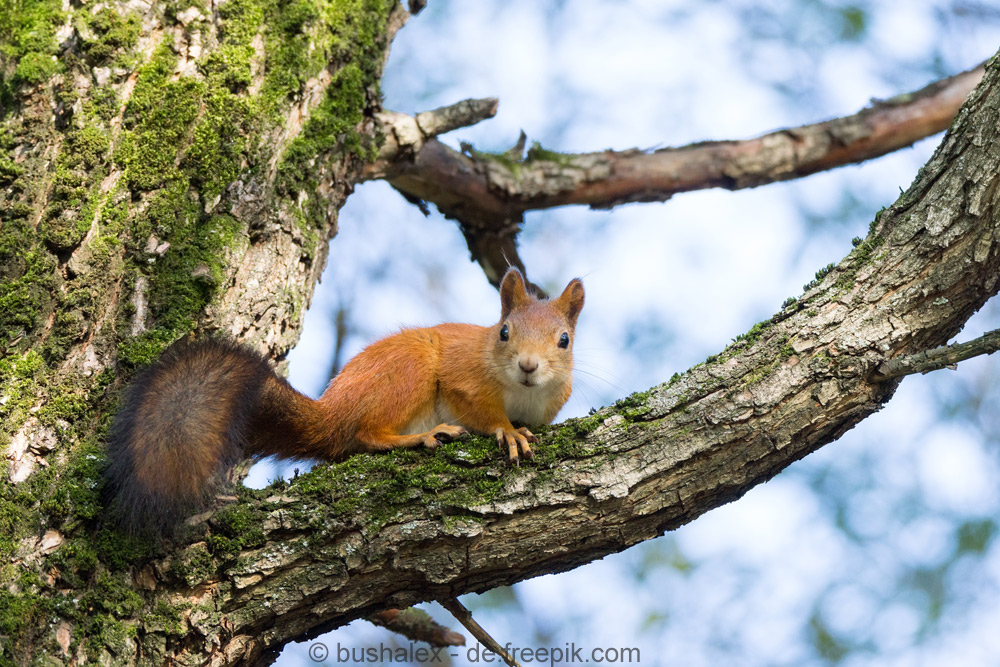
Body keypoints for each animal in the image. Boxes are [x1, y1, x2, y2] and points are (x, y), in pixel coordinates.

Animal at [104, 268, 584, 536]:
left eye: (564, 340)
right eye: (503, 332)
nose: (528, 366)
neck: (522, 393)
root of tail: (332, 412)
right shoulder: (462, 379)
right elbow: (483, 412)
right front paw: (508, 431)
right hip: (407, 373)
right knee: (365, 434)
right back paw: (422, 436)